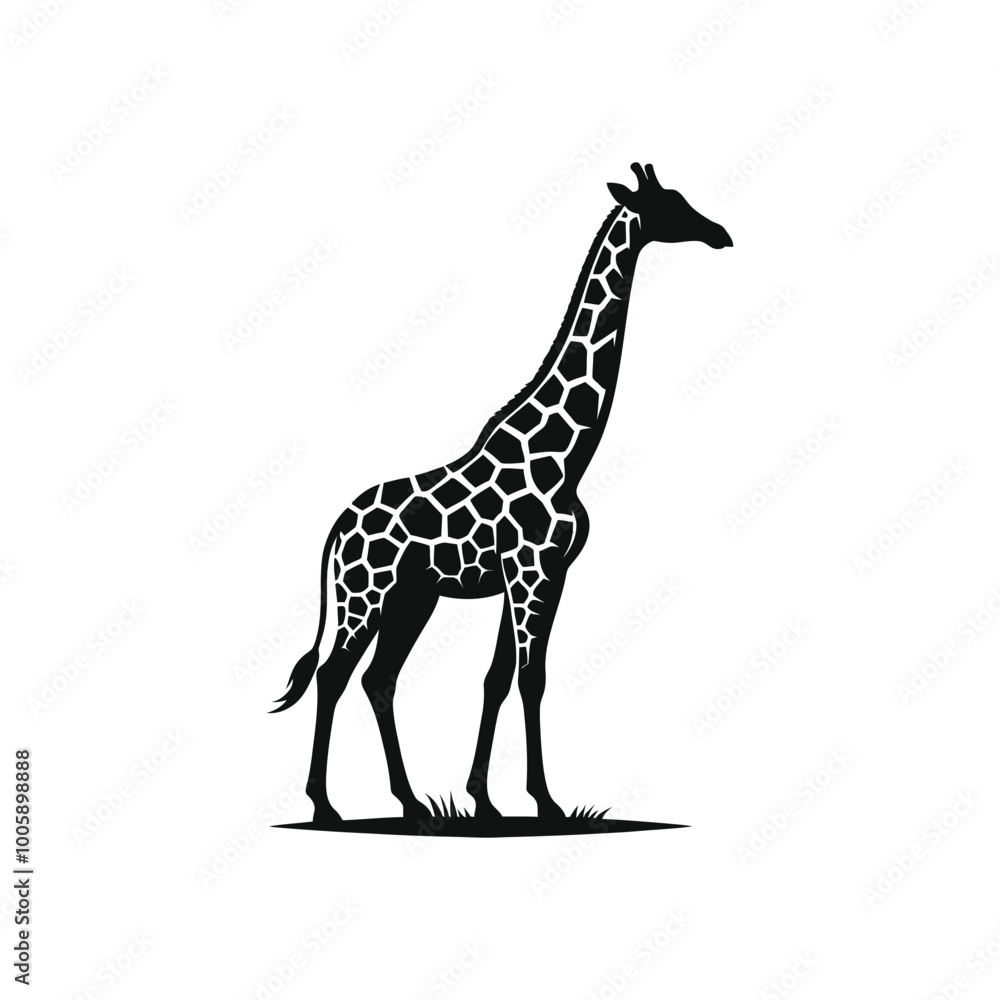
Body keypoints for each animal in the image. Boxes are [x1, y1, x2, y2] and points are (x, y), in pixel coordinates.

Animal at [274, 163, 732, 824]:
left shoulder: (543, 574)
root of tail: (336, 529)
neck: (566, 454)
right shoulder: (530, 571)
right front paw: (545, 801)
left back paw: (412, 803)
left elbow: (498, 678)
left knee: (378, 678)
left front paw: (484, 801)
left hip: (414, 598)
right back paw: (326, 807)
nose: (721, 233)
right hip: (367, 593)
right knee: (335, 674)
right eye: (669, 206)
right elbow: (528, 678)